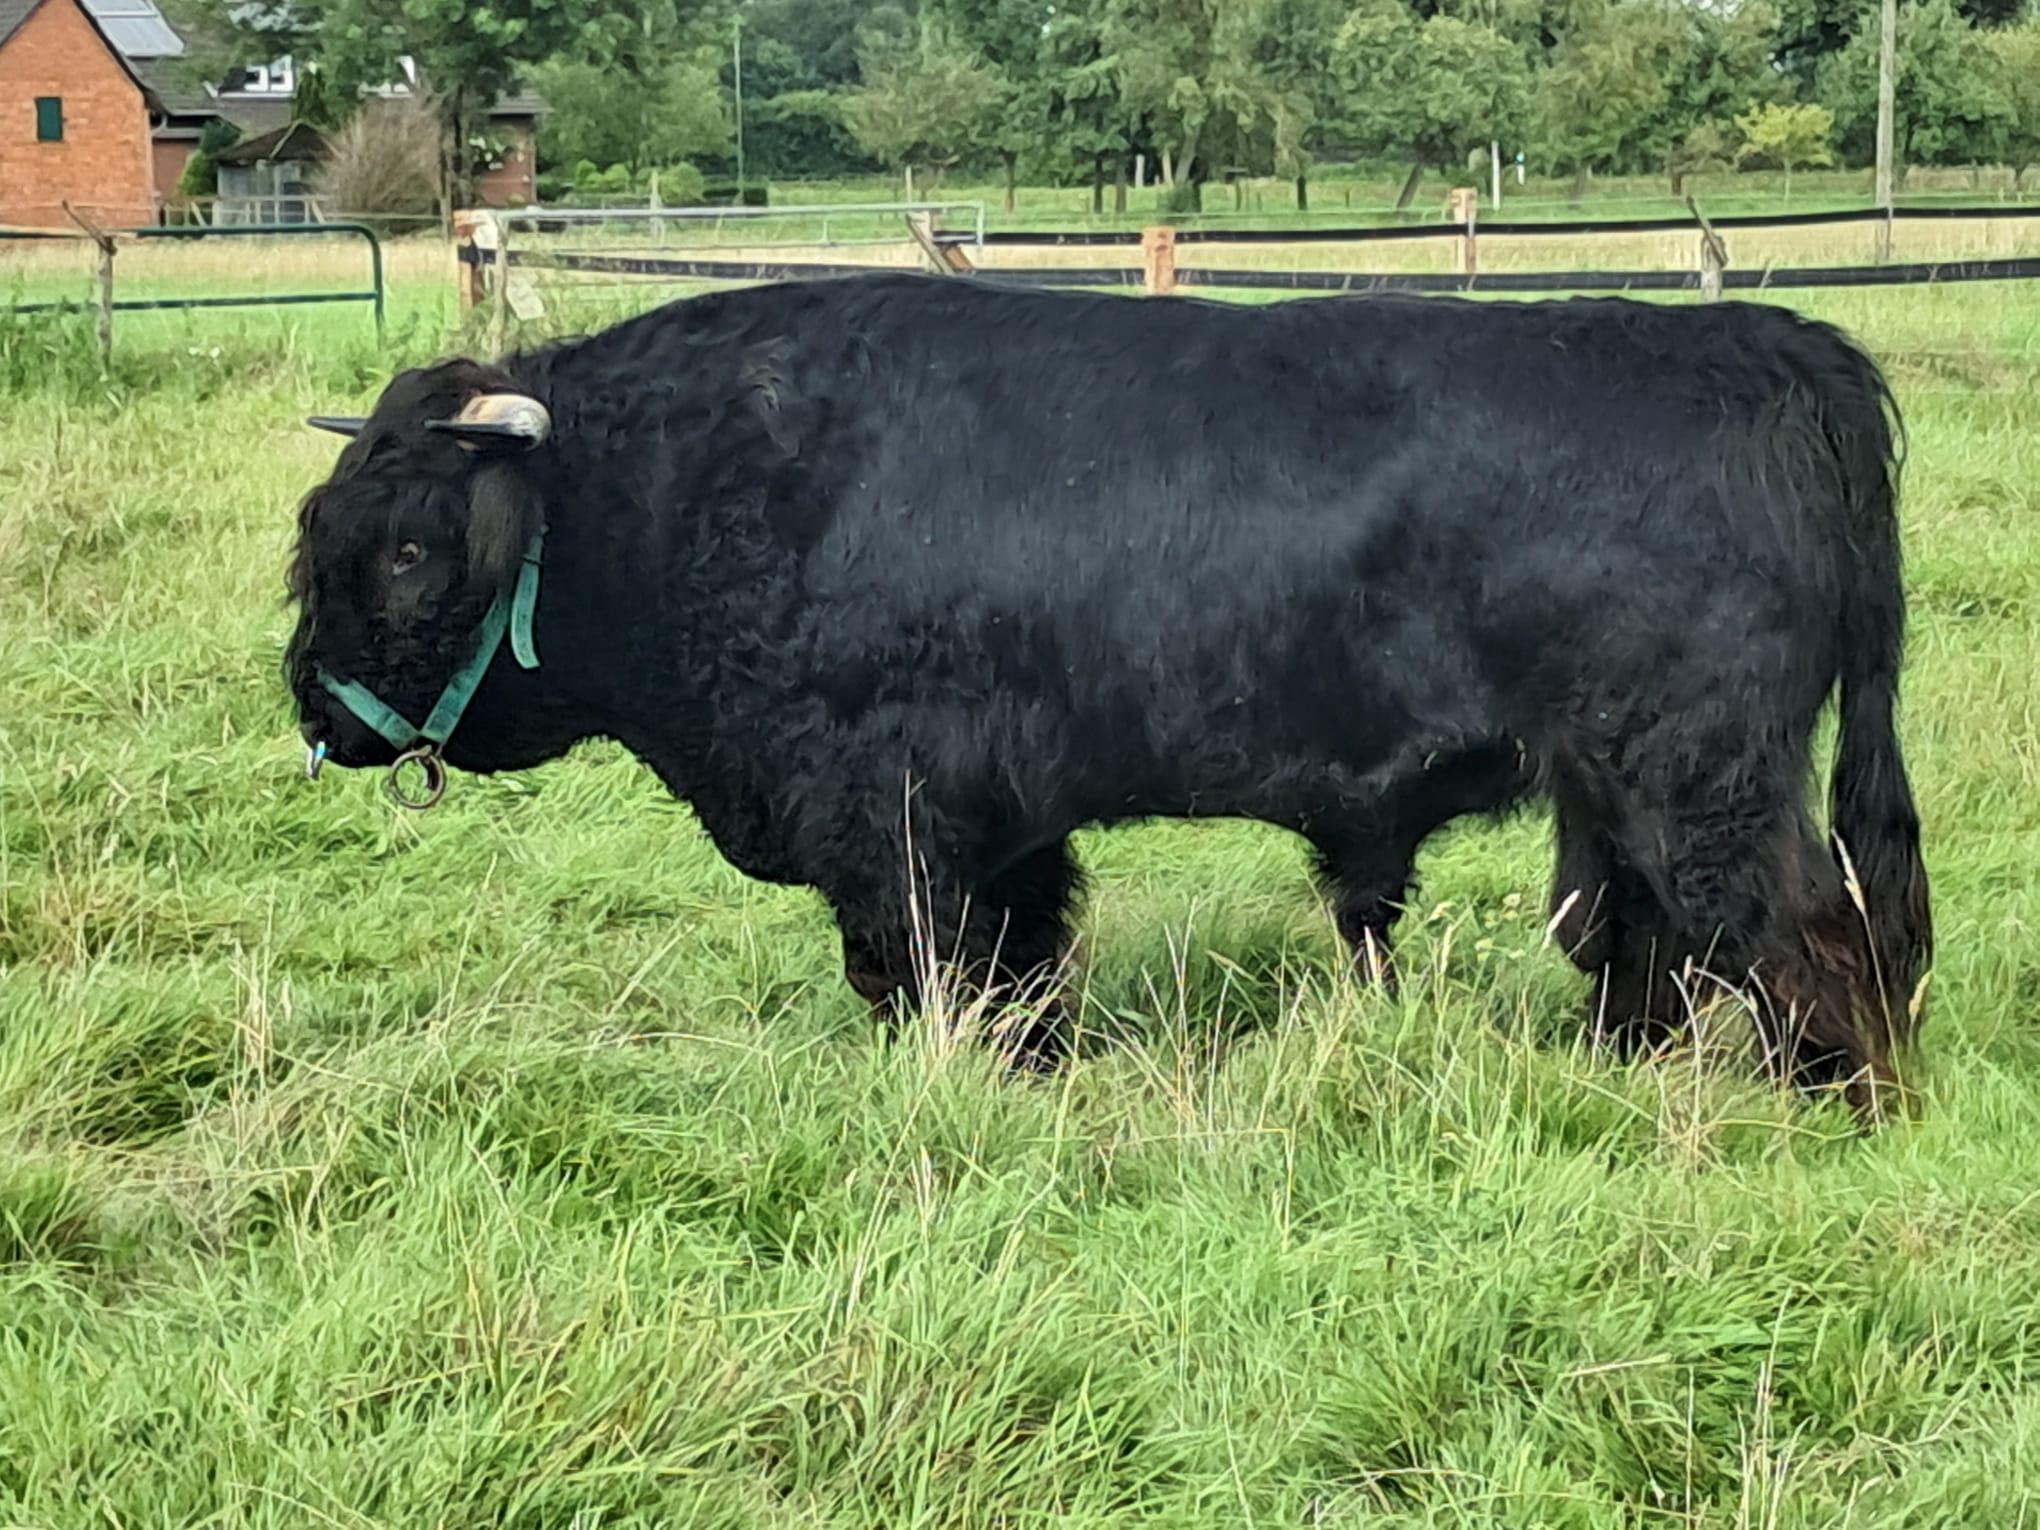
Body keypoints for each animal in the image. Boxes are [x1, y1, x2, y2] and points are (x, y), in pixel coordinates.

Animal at [284, 271, 1932, 1118]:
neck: (685, 487)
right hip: (1615, 784)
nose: (313, 707)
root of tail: (1769, 343)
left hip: (1703, 777)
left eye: (413, 548)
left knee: (1808, 936)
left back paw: (1838, 1109)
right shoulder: (1002, 828)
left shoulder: (894, 824)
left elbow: (926, 970)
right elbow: (1015, 976)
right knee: (1639, 946)